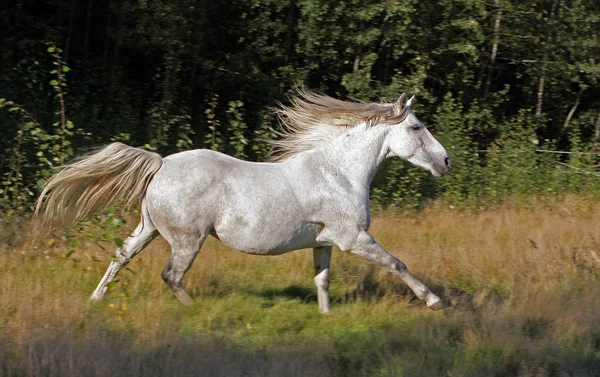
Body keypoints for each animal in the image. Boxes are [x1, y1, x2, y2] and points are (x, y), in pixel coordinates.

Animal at [36, 89, 450, 312]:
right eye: (416, 127)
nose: (445, 161)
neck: (339, 173)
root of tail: (162, 163)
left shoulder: (325, 242)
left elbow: (322, 281)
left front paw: (326, 317)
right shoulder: (354, 239)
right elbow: (397, 264)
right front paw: (435, 302)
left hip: (148, 229)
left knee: (121, 255)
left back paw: (95, 299)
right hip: (187, 240)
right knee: (171, 275)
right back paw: (193, 310)